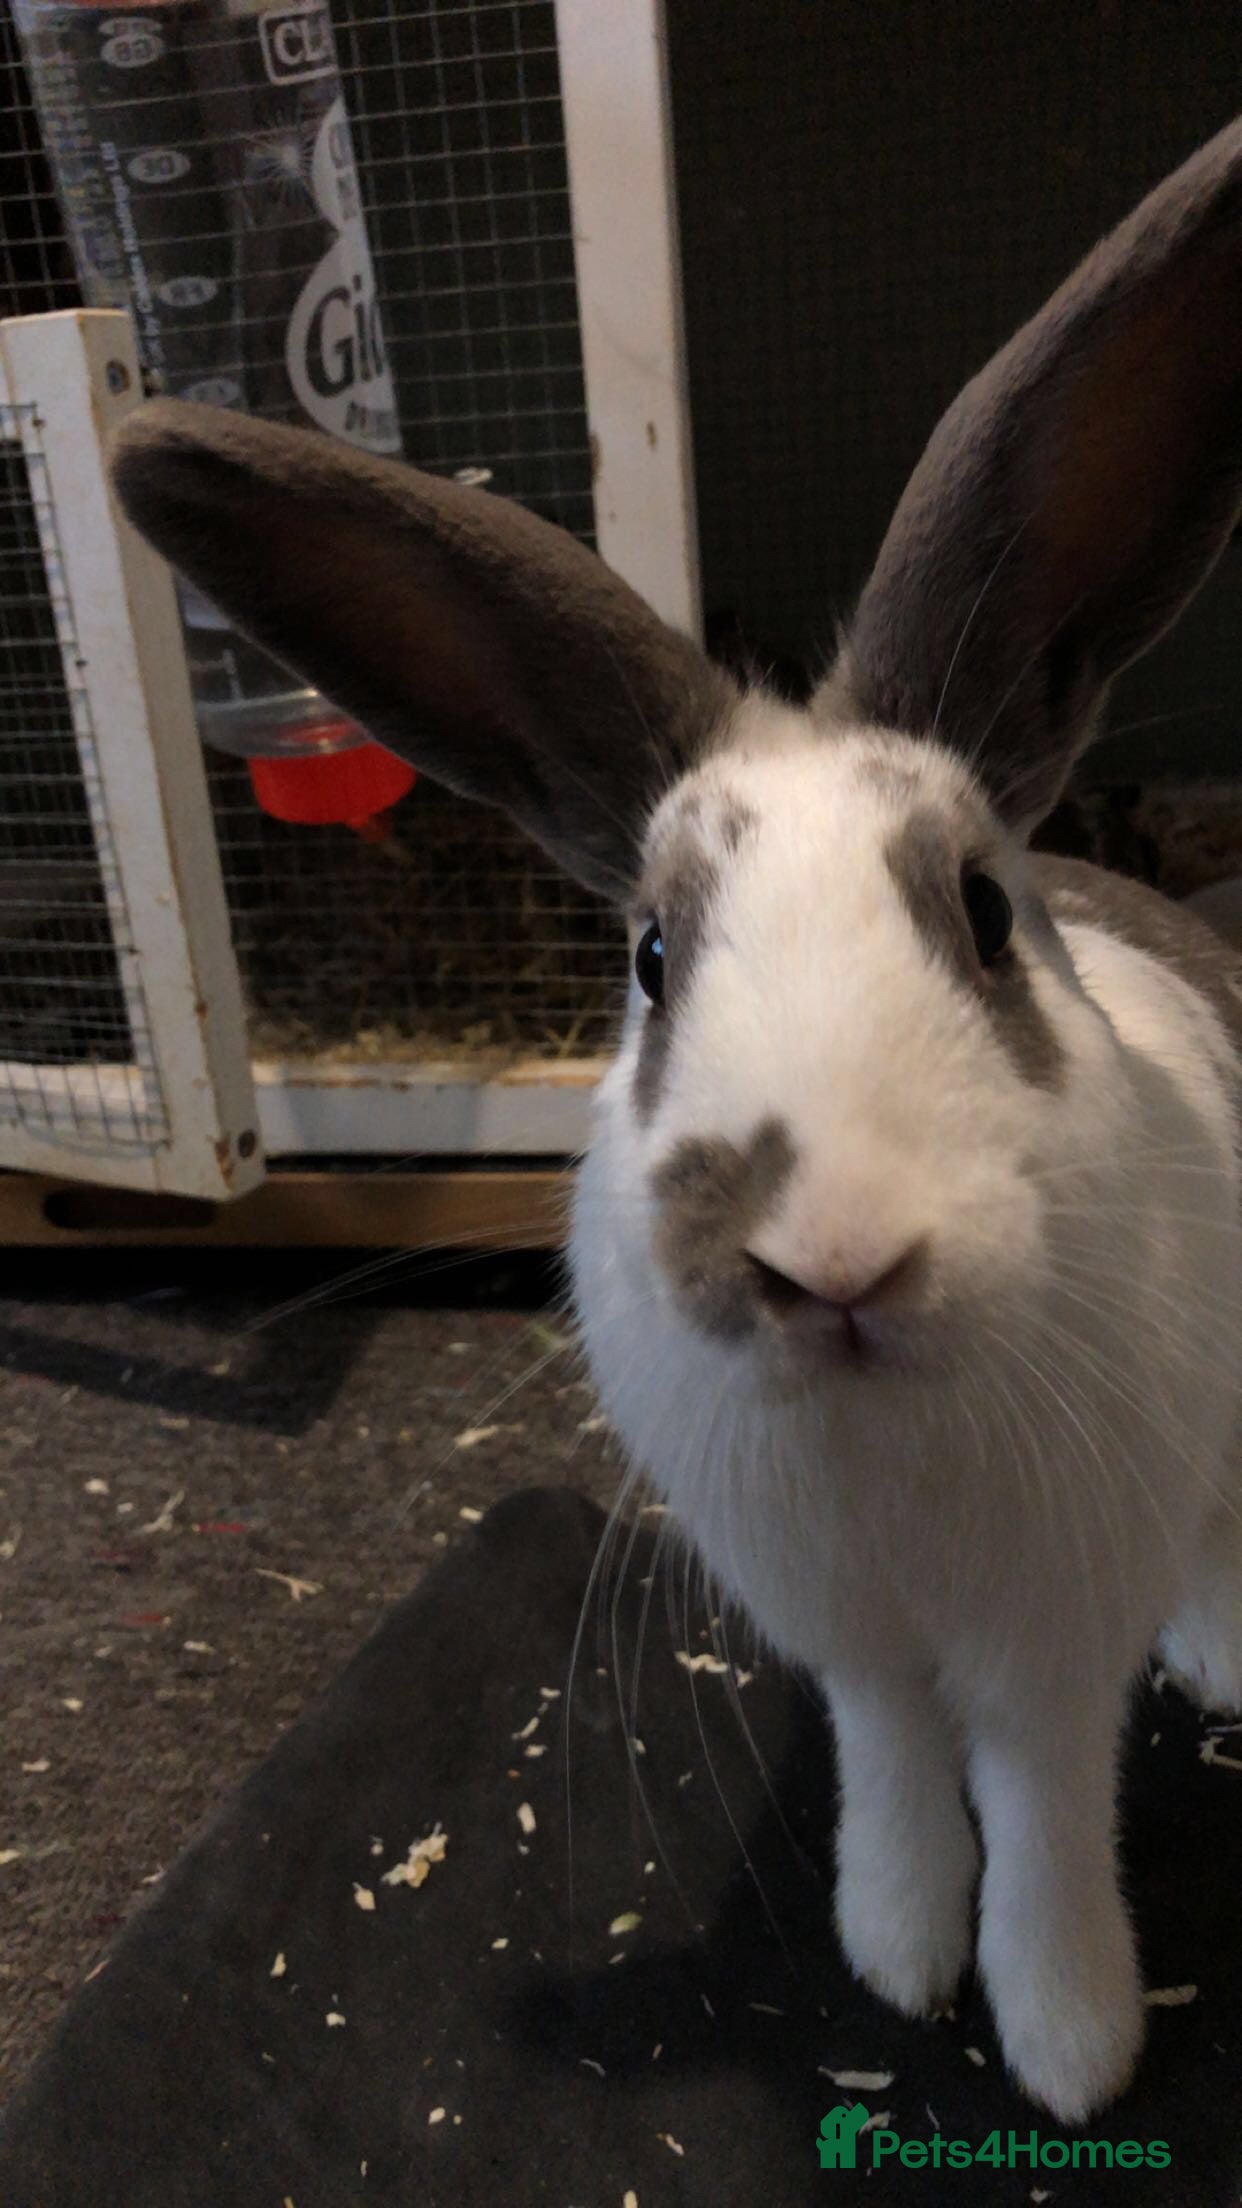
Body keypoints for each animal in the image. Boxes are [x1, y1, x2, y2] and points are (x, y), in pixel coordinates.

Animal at [109, 116, 1242, 2124]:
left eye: (980, 907)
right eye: (647, 955)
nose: (828, 1260)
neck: (884, 1435)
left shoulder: (1046, 1642)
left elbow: (1044, 1812)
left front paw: (1066, 2041)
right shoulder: (852, 1641)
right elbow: (897, 1774)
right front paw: (895, 1949)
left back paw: (1222, 1651)